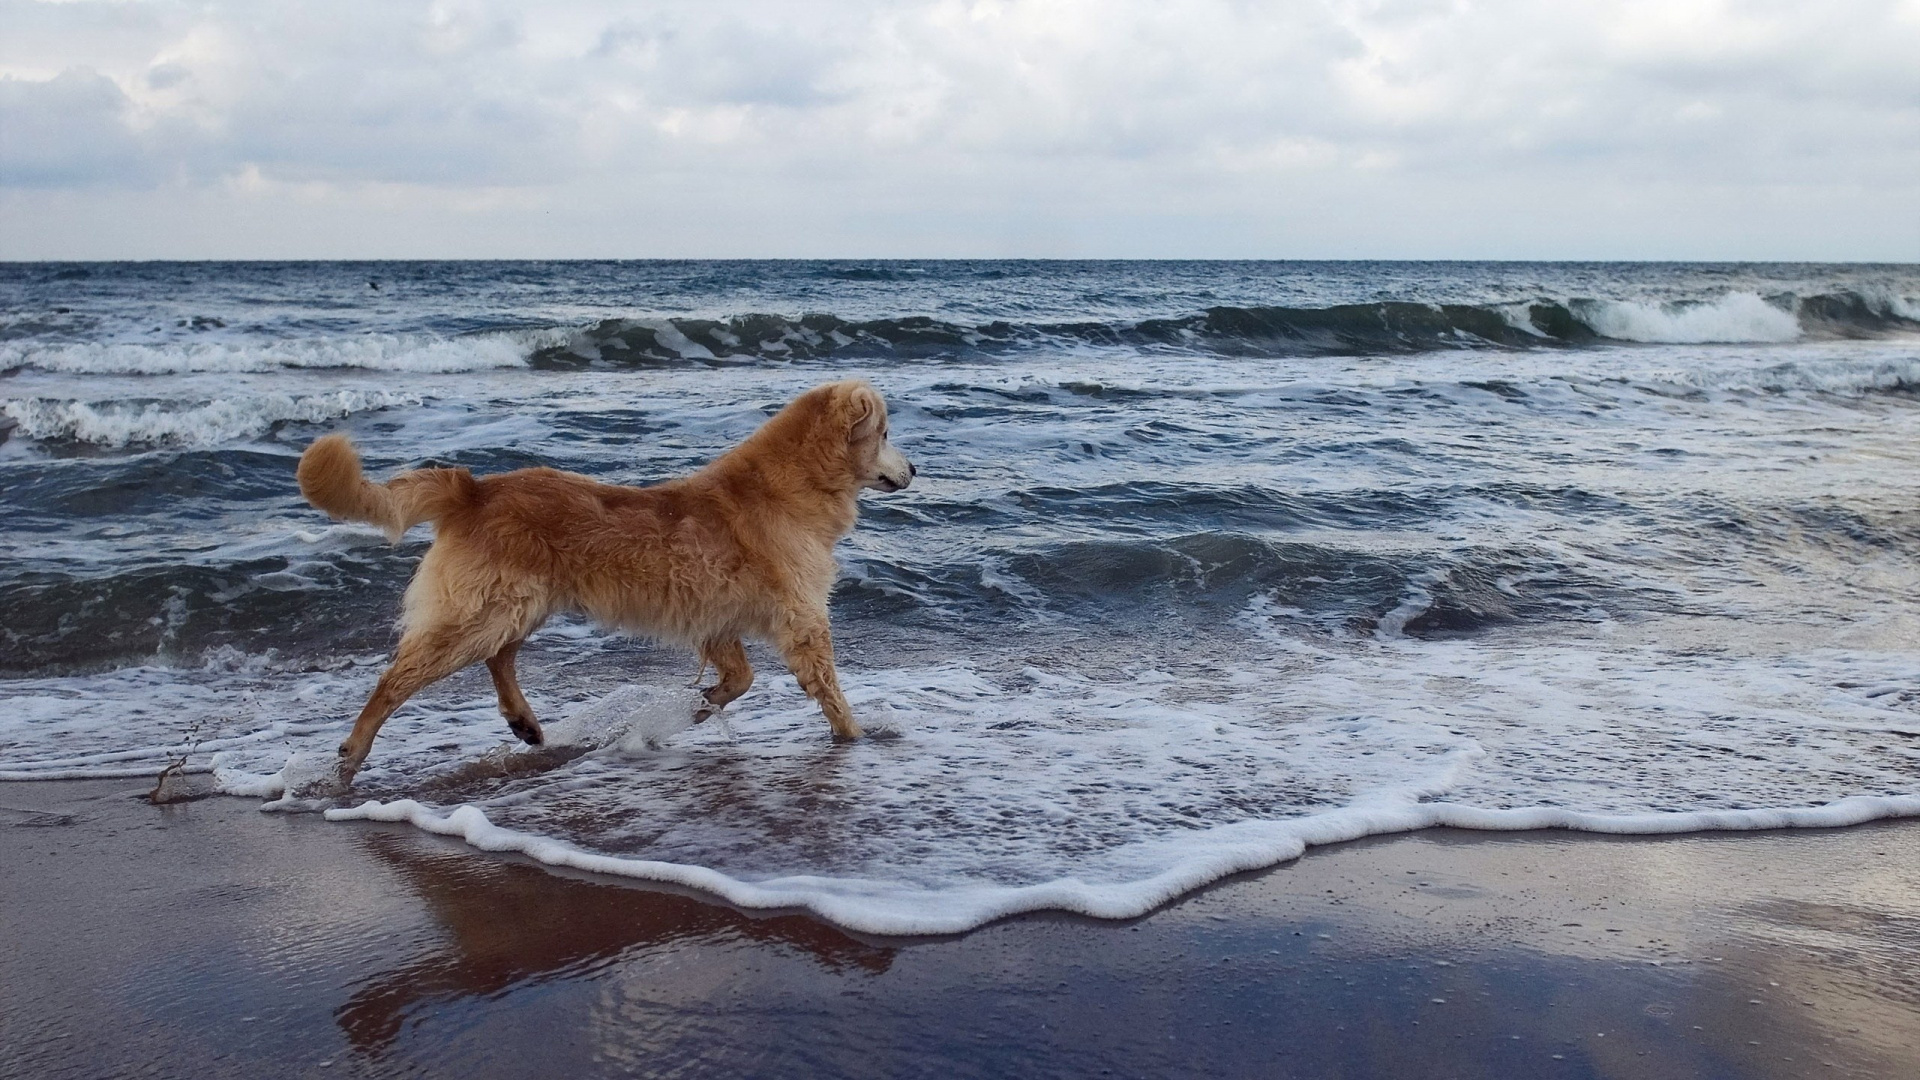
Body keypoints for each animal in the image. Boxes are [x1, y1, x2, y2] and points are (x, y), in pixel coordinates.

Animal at [293, 374, 913, 776]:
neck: (788, 487)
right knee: (399, 676)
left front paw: (698, 705)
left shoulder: (718, 620)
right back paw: (354, 750)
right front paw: (856, 736)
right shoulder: (802, 618)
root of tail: (474, 489)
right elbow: (827, 688)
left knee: (500, 657)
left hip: (518, 604)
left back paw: (524, 723)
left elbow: (740, 680)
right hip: (482, 611)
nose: (914, 468)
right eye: (884, 433)